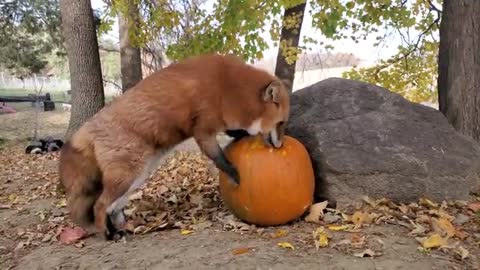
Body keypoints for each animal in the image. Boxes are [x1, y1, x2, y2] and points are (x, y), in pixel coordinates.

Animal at [58, 52, 290, 240]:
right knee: (99, 205)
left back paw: (118, 229)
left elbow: (235, 132)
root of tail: (86, 128)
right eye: (281, 123)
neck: (227, 87)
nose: (280, 147)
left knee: (111, 208)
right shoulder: (203, 131)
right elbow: (220, 159)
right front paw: (233, 174)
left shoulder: (219, 124)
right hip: (126, 177)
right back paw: (108, 235)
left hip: (136, 177)